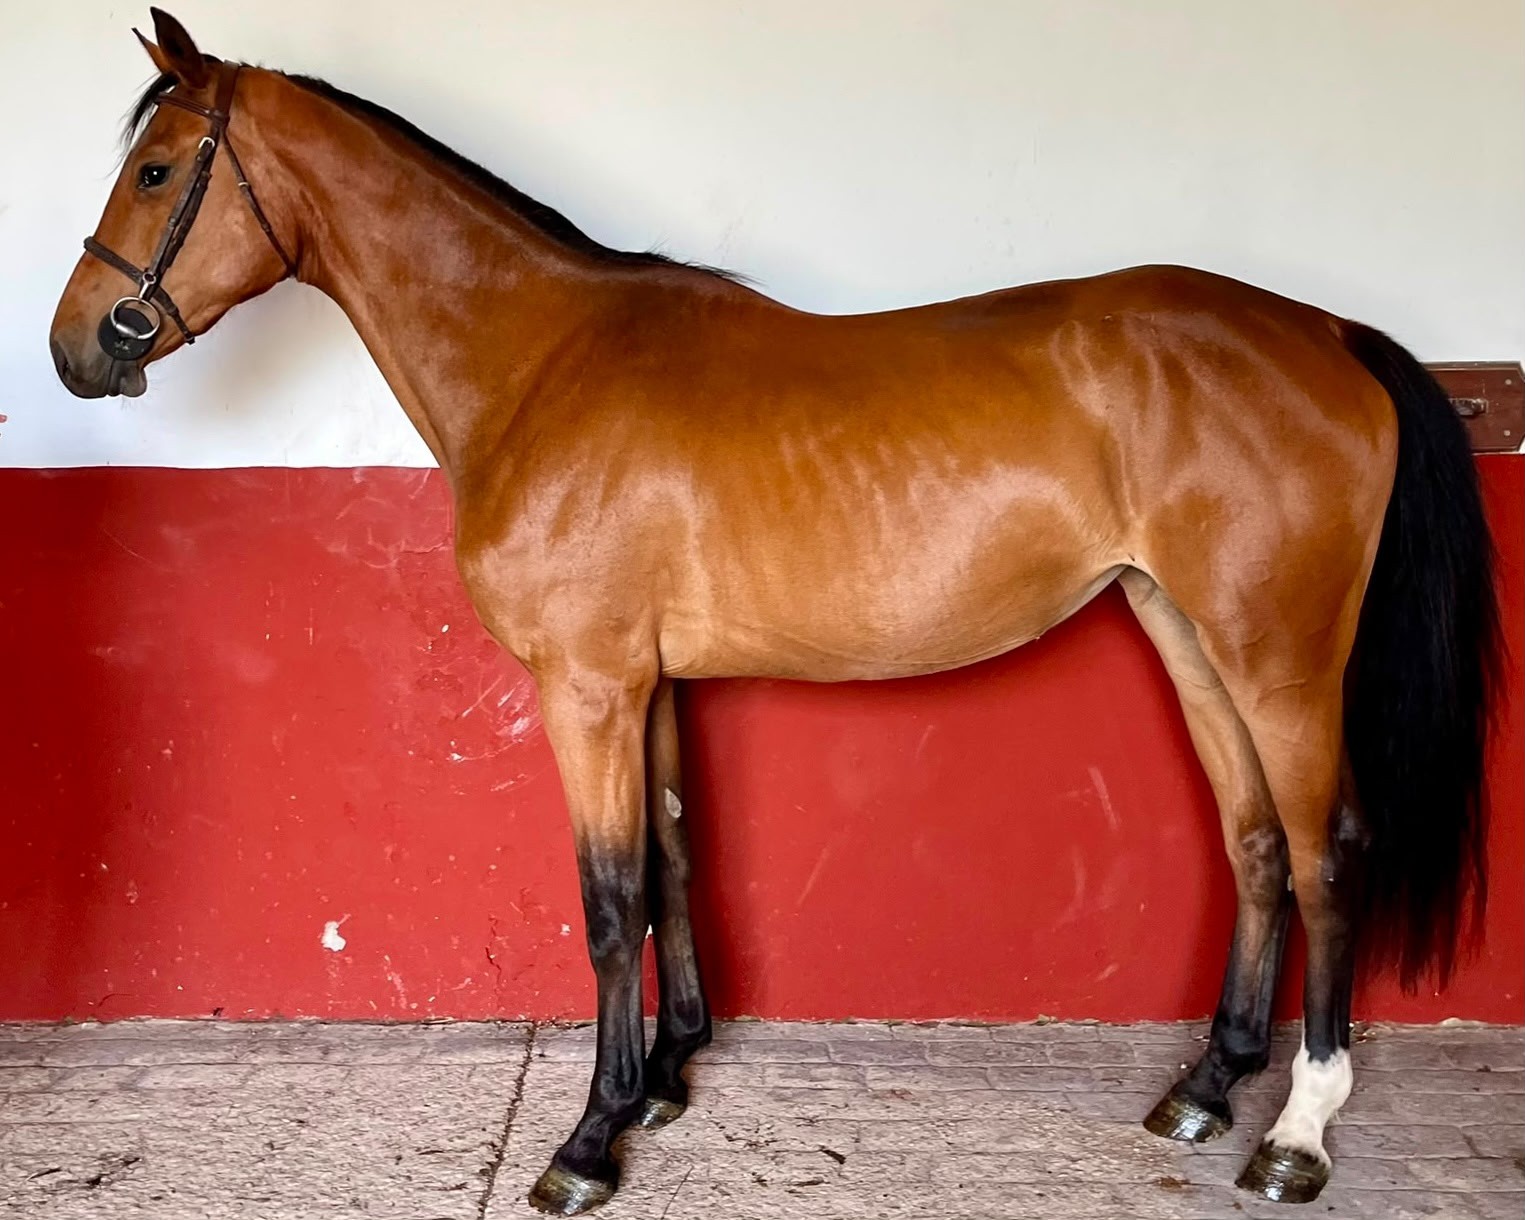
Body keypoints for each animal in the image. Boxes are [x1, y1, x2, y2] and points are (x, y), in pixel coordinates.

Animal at [50, 10, 1499, 1214]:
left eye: (159, 172)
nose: (76, 350)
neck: (541, 362)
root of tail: (1329, 335)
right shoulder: (646, 685)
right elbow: (673, 863)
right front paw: (668, 1077)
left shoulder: (586, 689)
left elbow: (606, 899)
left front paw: (588, 1140)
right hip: (1189, 637)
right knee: (1255, 845)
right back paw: (1206, 1087)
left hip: (1281, 660)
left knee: (1326, 854)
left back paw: (1296, 1133)